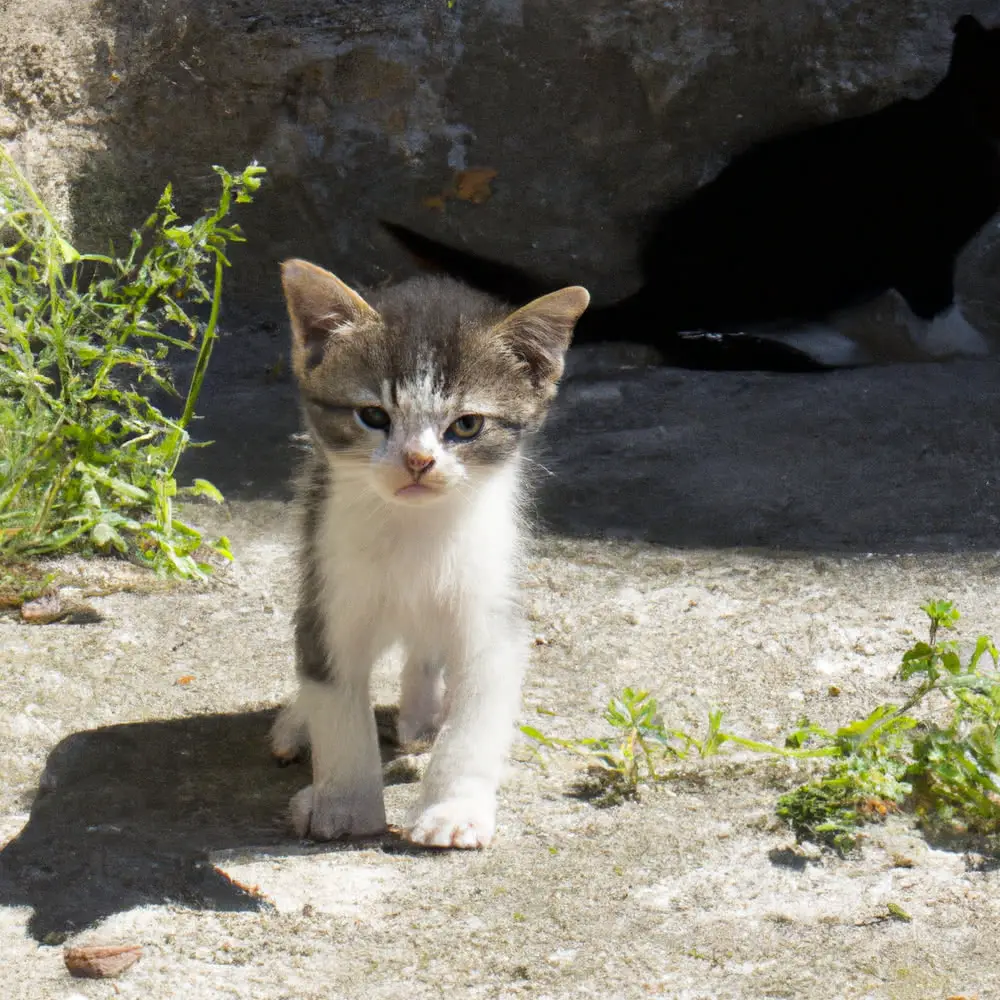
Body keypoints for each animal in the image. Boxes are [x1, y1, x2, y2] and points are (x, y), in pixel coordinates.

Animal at [270, 260, 588, 852]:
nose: (418, 460)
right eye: (373, 415)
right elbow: (337, 700)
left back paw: (422, 718)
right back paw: (299, 726)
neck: (413, 535)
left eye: (466, 425)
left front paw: (453, 809)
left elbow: (476, 717)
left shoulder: (492, 607)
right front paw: (344, 805)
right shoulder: (330, 591)